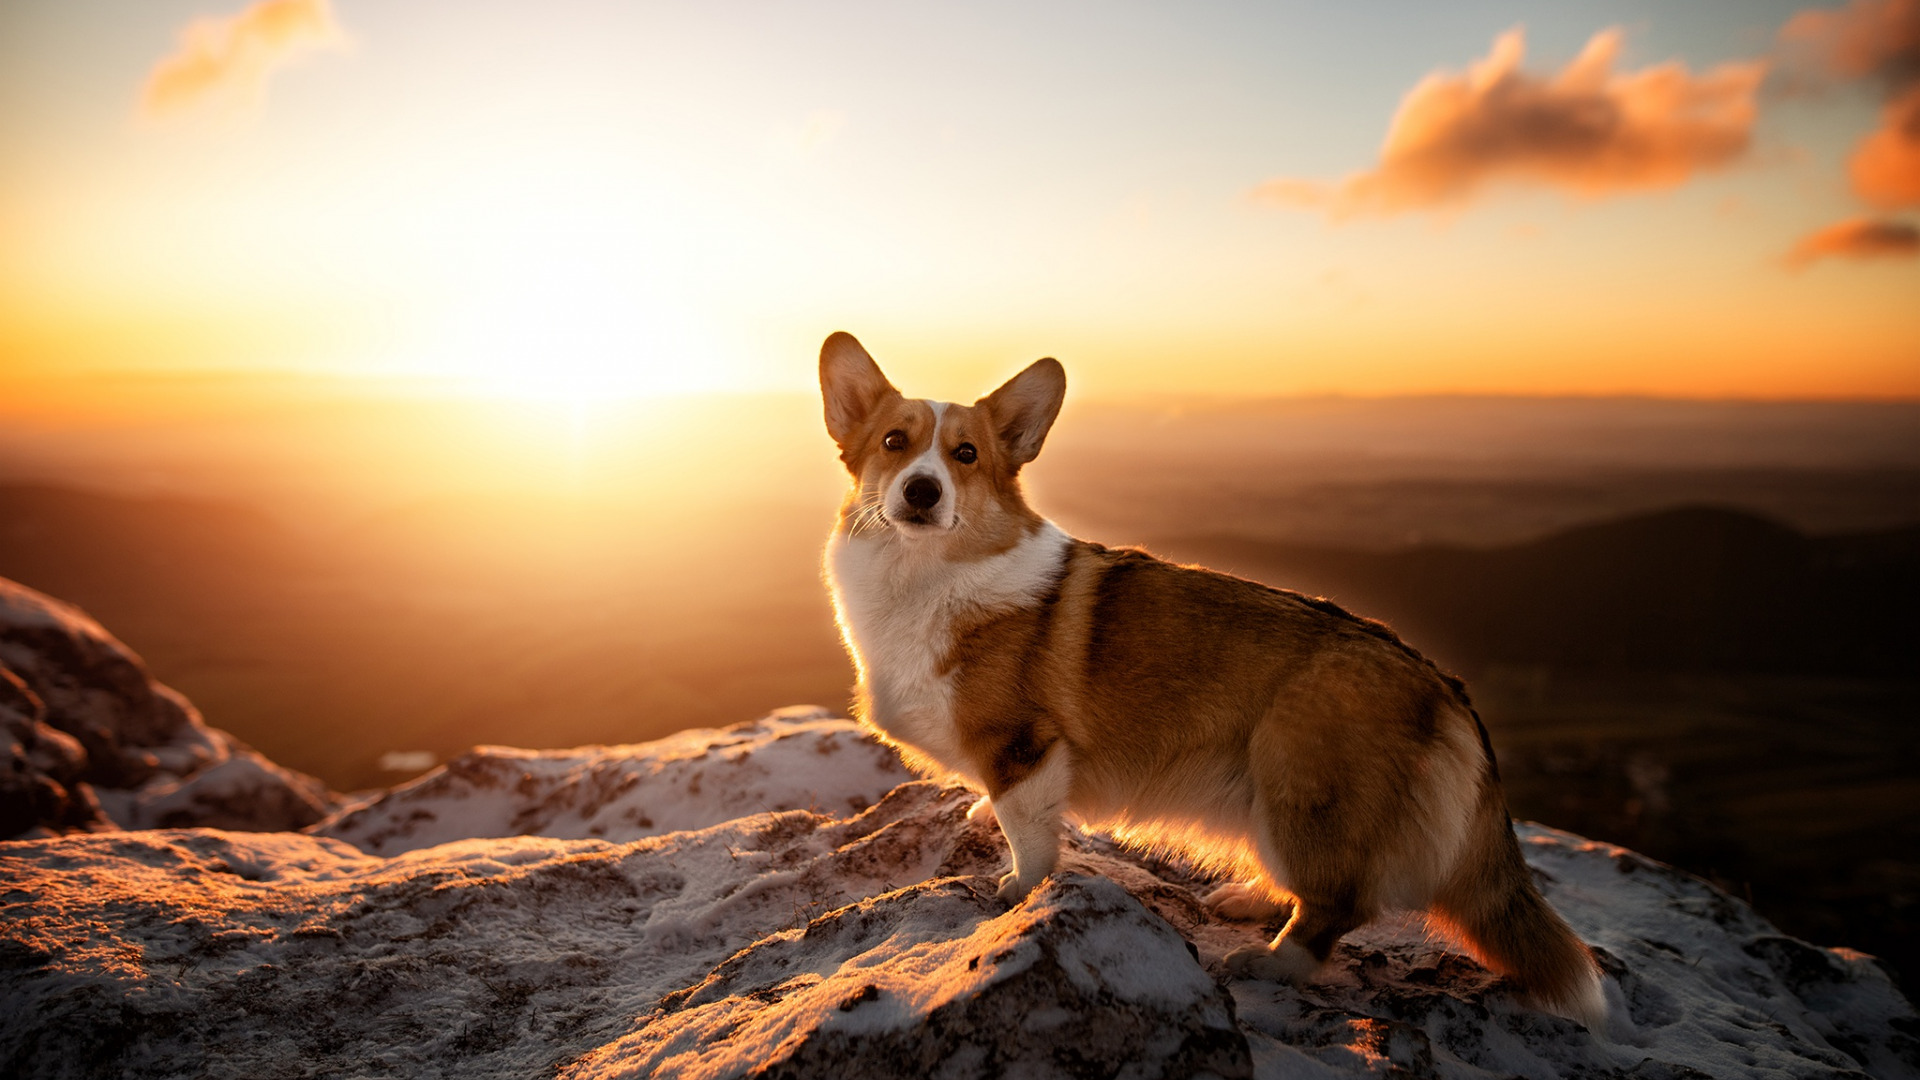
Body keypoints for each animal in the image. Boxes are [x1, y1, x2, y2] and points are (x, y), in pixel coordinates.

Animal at [821, 330, 1605, 1022]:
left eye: (966, 455)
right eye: (893, 443)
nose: (922, 492)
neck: (924, 575)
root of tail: (1445, 687)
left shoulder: (1024, 744)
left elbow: (1033, 837)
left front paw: (1016, 889)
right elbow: (1005, 807)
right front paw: (983, 816)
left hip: (1296, 779)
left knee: (1339, 902)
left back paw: (1273, 961)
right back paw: (1249, 899)